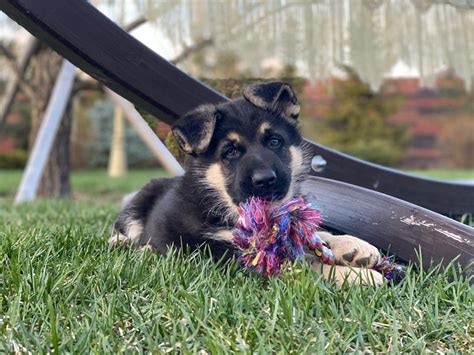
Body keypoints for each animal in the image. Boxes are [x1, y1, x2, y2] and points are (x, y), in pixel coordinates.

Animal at [112, 82, 386, 286]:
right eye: (230, 151)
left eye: (274, 141)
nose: (264, 180)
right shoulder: (228, 254)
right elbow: (305, 266)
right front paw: (356, 276)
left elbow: (313, 234)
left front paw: (351, 246)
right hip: (139, 203)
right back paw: (130, 245)